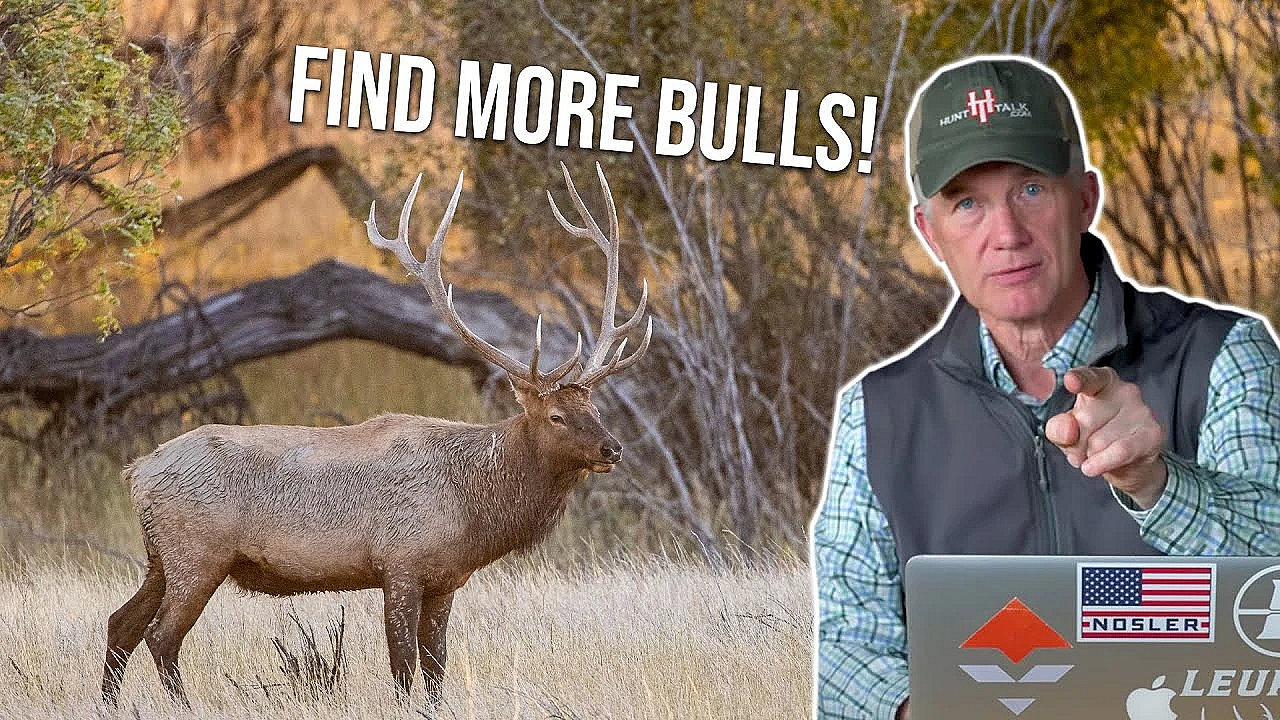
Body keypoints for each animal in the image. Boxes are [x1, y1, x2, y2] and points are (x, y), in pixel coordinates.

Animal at [101, 162, 651, 708]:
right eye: (555, 415)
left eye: (592, 406)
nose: (613, 448)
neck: (474, 513)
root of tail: (137, 471)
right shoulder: (401, 562)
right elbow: (403, 666)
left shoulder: (446, 578)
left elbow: (436, 667)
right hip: (197, 551)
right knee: (160, 634)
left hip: (162, 557)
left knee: (120, 623)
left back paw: (108, 700)